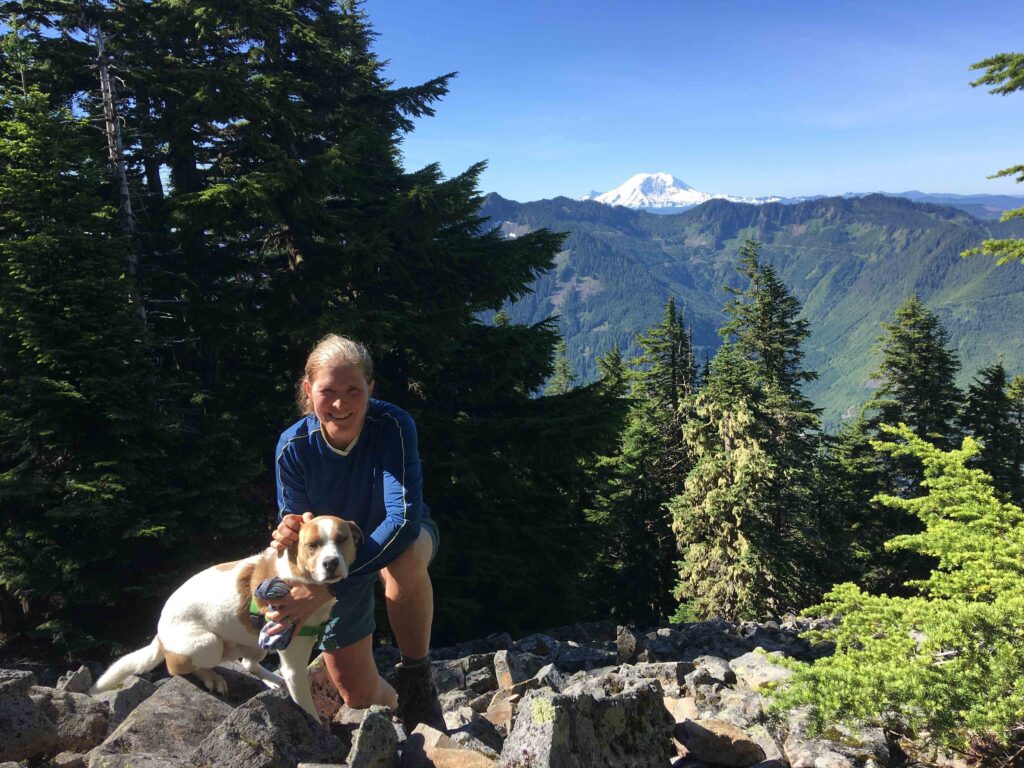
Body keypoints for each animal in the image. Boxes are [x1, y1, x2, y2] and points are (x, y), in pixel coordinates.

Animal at [90, 518, 360, 720]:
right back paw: (212, 677)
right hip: (209, 644)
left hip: (255, 643)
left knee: (248, 663)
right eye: (312, 545)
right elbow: (306, 705)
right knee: (176, 667)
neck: (298, 576)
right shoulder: (294, 662)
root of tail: (160, 632)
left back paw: (275, 682)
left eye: (342, 539)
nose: (330, 562)